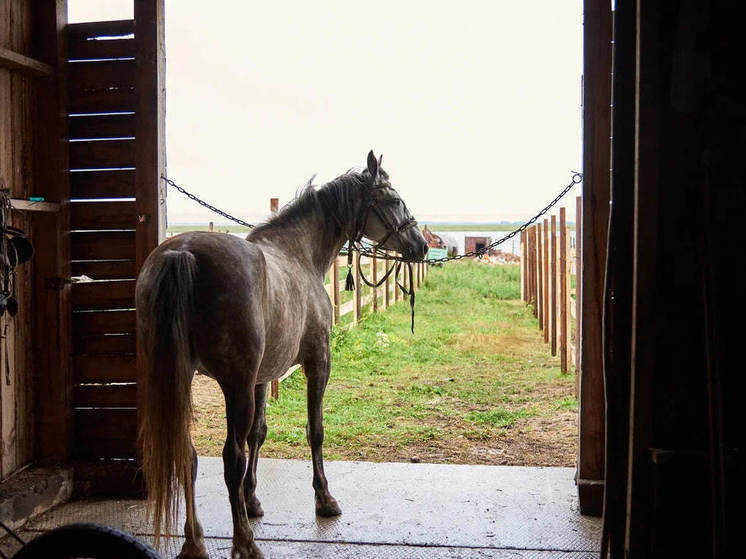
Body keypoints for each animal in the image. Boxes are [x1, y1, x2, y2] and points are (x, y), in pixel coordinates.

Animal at [137, 151, 428, 556]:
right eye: (394, 199)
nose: (421, 246)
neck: (298, 253)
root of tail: (184, 253)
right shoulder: (317, 363)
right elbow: (315, 430)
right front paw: (324, 500)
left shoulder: (261, 377)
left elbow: (258, 433)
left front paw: (252, 500)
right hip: (234, 384)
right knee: (230, 458)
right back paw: (245, 542)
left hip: (181, 378)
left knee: (188, 454)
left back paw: (195, 541)